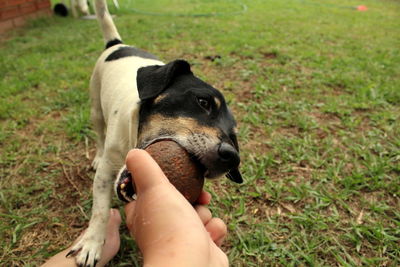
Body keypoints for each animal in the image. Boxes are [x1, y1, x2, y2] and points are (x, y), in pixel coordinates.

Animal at [67, 0, 242, 266]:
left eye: (233, 136)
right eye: (203, 102)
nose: (231, 156)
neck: (131, 137)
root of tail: (117, 44)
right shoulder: (107, 173)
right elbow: (100, 212)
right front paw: (92, 243)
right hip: (95, 107)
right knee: (98, 134)